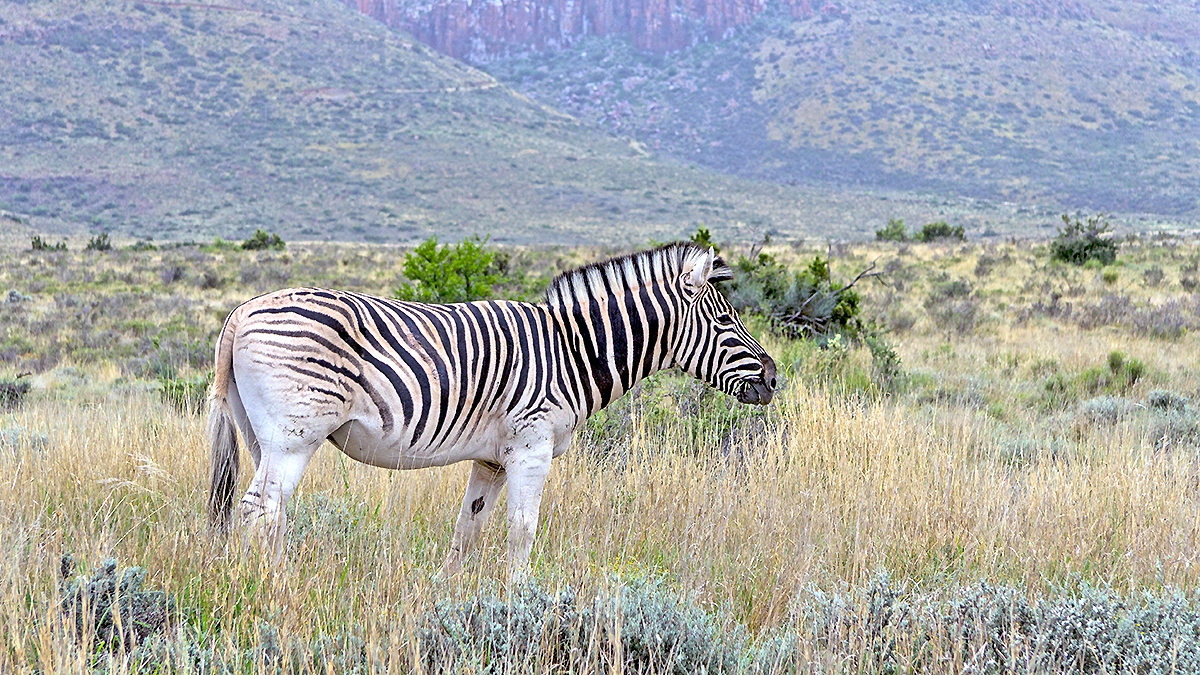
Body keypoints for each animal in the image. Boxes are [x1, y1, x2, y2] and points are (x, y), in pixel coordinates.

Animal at [207, 242, 777, 580]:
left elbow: (469, 528)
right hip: (293, 435)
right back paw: (266, 586)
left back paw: (278, 577)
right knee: (260, 506)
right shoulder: (532, 447)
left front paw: (451, 595)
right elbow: (523, 530)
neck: (572, 349)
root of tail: (241, 311)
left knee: (269, 508)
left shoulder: (492, 460)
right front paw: (522, 599)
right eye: (726, 321)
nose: (774, 379)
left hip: (261, 436)